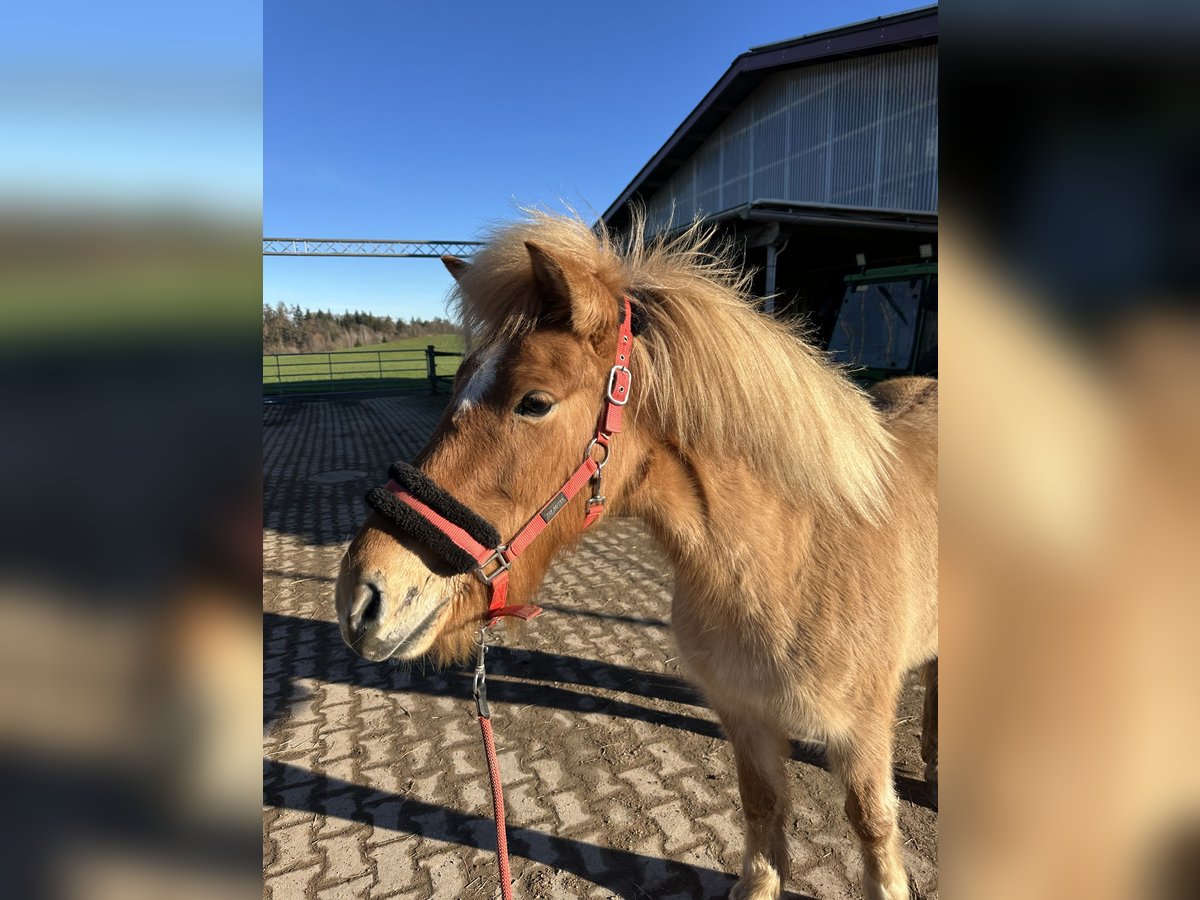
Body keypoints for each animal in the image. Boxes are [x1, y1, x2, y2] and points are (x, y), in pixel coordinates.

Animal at [331, 213, 936, 900]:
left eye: (534, 401)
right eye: (457, 382)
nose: (362, 595)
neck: (790, 563)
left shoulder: (863, 733)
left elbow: (872, 824)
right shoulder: (745, 717)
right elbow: (762, 807)